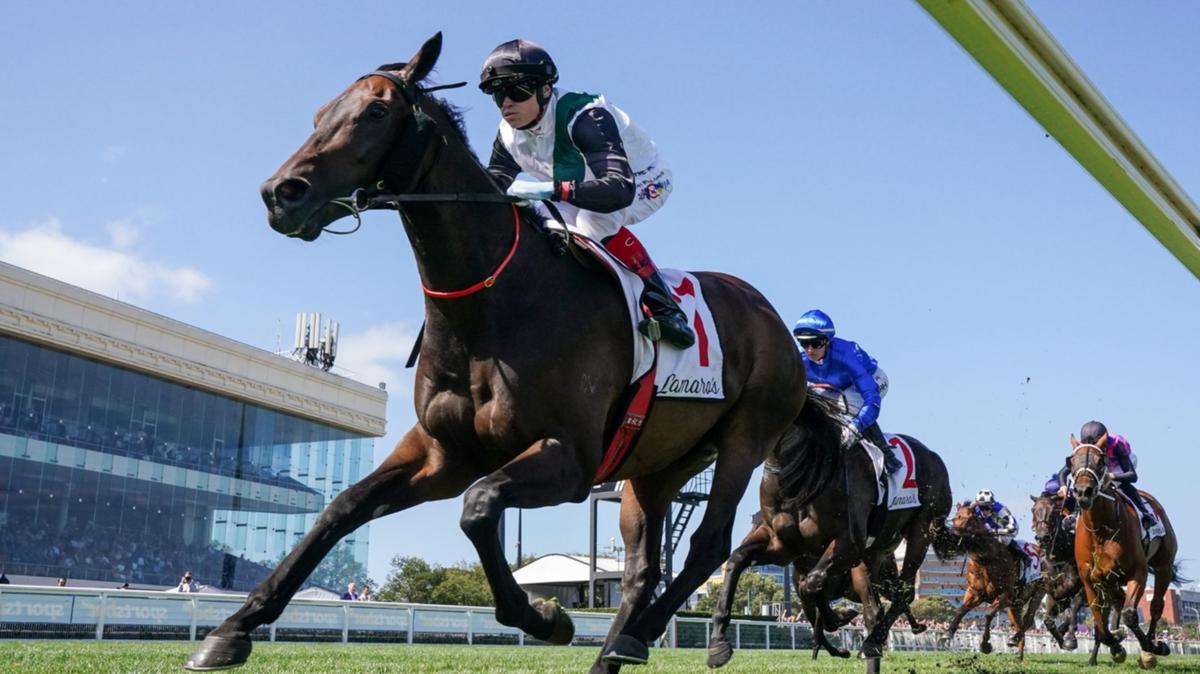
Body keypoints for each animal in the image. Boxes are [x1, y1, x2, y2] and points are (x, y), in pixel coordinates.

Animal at [184, 32, 806, 671]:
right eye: (318, 114)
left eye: (376, 111)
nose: (281, 194)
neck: (492, 306)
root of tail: (773, 321)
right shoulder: (442, 453)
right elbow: (340, 509)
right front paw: (232, 629)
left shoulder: (570, 459)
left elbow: (479, 508)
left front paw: (546, 617)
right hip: (657, 466)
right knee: (642, 569)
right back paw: (616, 647)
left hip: (744, 438)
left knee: (708, 545)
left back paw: (641, 632)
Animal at [705, 400, 950, 666]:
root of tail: (934, 457)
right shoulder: (783, 546)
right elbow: (738, 560)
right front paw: (718, 643)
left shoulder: (848, 543)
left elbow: (814, 582)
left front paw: (840, 618)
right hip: (874, 555)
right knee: (878, 603)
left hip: (921, 530)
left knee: (902, 593)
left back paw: (875, 640)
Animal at [940, 501, 1046, 657]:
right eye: (955, 517)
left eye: (970, 519)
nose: (954, 535)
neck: (986, 561)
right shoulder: (975, 594)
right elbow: (961, 610)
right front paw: (947, 634)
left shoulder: (1005, 595)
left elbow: (988, 614)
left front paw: (985, 644)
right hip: (1015, 605)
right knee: (1019, 623)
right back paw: (1018, 653)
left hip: (1038, 593)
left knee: (1028, 620)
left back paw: (1013, 639)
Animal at [1027, 491, 1084, 647]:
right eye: (1033, 510)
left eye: (1053, 511)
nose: (1042, 537)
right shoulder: (1055, 594)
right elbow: (1048, 620)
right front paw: (1060, 638)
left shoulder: (1078, 590)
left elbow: (1073, 609)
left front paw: (1070, 639)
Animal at [1070, 436, 1180, 666]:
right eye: (1071, 462)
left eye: (1100, 462)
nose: (1083, 492)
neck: (1101, 530)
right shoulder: (1091, 580)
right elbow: (1099, 622)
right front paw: (1116, 645)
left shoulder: (1138, 571)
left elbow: (1130, 614)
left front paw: (1152, 648)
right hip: (1110, 580)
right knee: (1118, 601)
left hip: (1164, 566)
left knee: (1156, 605)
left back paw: (1151, 647)